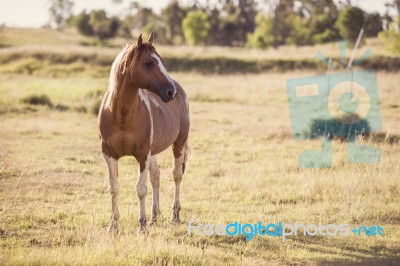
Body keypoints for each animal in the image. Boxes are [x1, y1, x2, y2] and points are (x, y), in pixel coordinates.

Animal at [97, 32, 191, 233]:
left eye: (162, 60)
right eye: (148, 63)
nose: (170, 92)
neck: (122, 115)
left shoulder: (142, 154)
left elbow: (141, 189)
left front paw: (142, 225)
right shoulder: (108, 153)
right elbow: (114, 187)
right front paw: (113, 225)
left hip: (178, 143)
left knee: (177, 175)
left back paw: (174, 216)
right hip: (153, 151)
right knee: (156, 176)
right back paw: (155, 216)